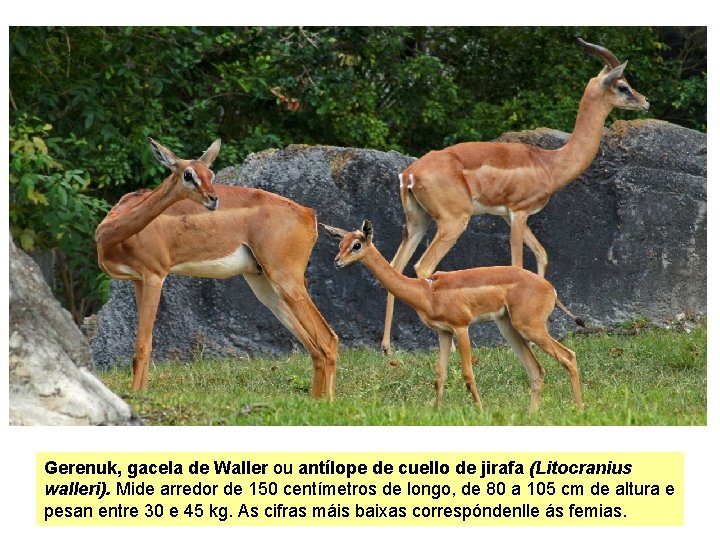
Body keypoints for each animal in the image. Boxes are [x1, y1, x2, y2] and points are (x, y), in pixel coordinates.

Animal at [95, 138, 338, 398]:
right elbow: (146, 344)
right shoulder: (137, 280)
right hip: (265, 287)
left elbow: (142, 346)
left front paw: (136, 396)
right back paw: (315, 400)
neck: (111, 233)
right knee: (313, 347)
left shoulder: (155, 276)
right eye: (188, 174)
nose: (213, 199)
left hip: (287, 280)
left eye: (210, 173)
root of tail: (309, 214)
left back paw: (327, 402)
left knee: (328, 340)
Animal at [323, 220, 584, 414]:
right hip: (509, 328)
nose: (337, 261)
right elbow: (440, 375)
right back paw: (531, 415)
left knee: (568, 356)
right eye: (341, 243)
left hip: (530, 328)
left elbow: (468, 374)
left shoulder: (461, 327)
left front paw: (480, 412)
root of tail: (550, 288)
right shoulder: (443, 332)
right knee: (537, 371)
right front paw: (437, 412)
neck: (427, 292)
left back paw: (580, 409)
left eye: (357, 244)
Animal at [382, 38, 649, 354]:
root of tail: (410, 174)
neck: (549, 163)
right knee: (423, 266)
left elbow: (542, 255)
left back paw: (387, 347)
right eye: (622, 86)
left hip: (417, 223)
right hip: (452, 222)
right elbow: (518, 264)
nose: (645, 101)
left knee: (395, 266)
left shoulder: (511, 217)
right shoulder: (518, 212)